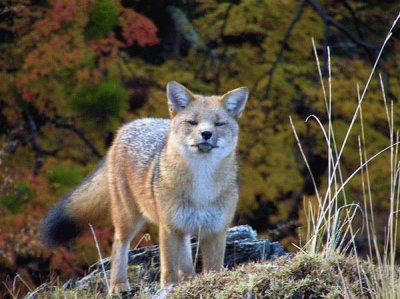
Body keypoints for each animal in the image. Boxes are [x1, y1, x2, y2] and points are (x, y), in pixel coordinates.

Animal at [40, 81, 247, 294]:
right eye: (192, 122)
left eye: (218, 124)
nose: (206, 134)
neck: (201, 190)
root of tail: (130, 125)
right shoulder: (168, 228)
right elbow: (169, 269)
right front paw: (169, 288)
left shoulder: (216, 230)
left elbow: (213, 269)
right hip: (129, 218)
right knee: (119, 245)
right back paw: (118, 284)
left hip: (180, 226)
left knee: (185, 253)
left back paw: (188, 278)